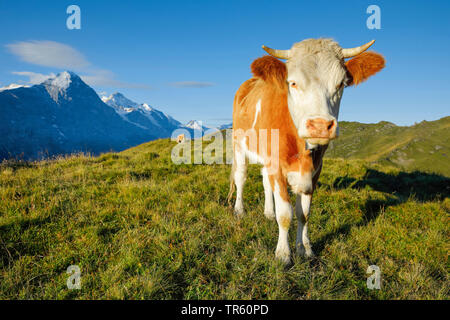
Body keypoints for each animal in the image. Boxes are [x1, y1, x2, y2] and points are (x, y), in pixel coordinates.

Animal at [227, 38, 384, 264]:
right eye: (293, 83)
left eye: (341, 83)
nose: (320, 126)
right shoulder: (277, 166)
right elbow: (286, 213)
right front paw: (283, 254)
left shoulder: (315, 170)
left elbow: (304, 213)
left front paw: (305, 249)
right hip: (239, 144)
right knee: (241, 177)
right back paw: (239, 210)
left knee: (265, 182)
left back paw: (268, 212)